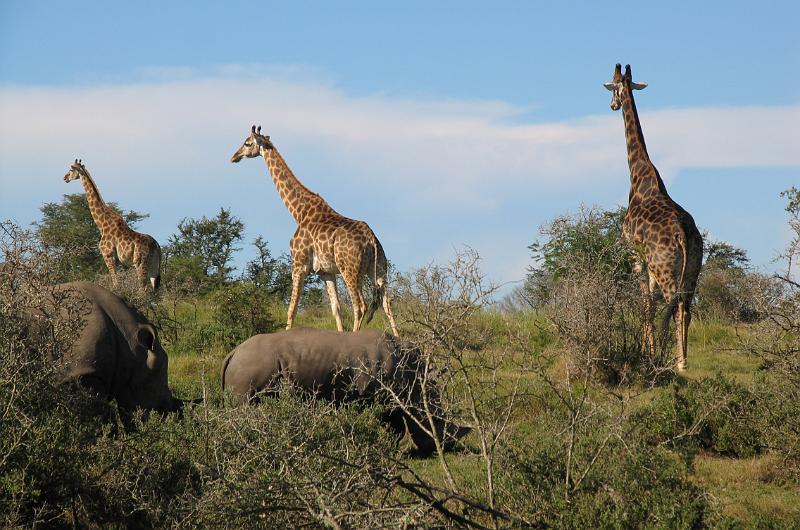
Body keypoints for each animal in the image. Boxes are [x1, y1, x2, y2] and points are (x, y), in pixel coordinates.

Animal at [64, 159, 162, 290]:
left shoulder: (108, 255)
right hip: (154, 268)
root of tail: (157, 246)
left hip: (140, 263)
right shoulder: (120, 262)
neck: (102, 224)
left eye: (71, 169)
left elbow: (115, 283)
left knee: (143, 289)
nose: (65, 178)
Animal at [231, 125, 400, 334]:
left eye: (247, 143)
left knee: (360, 305)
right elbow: (336, 309)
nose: (234, 156)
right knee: (387, 306)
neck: (298, 212)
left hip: (350, 269)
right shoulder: (325, 272)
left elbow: (292, 309)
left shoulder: (298, 264)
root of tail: (371, 239)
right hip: (378, 269)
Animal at [604, 65, 704, 372]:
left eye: (613, 86)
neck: (638, 174)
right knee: (687, 307)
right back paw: (684, 358)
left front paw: (647, 351)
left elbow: (646, 304)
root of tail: (683, 234)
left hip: (664, 268)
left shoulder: (636, 255)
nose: (612, 105)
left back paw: (680, 362)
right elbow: (650, 304)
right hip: (693, 268)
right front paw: (651, 350)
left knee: (676, 305)